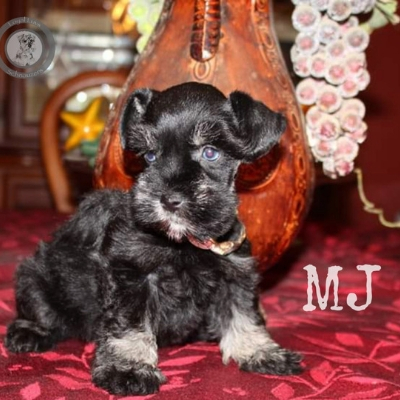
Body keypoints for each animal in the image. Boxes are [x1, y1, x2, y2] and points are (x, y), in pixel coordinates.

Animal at [6, 83, 302, 396]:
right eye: (150, 156)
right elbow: (130, 326)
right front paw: (129, 368)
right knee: (38, 310)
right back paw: (29, 333)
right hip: (34, 276)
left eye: (210, 152)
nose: (169, 200)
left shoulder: (235, 275)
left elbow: (244, 314)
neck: (183, 242)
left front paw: (261, 351)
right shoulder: (132, 275)